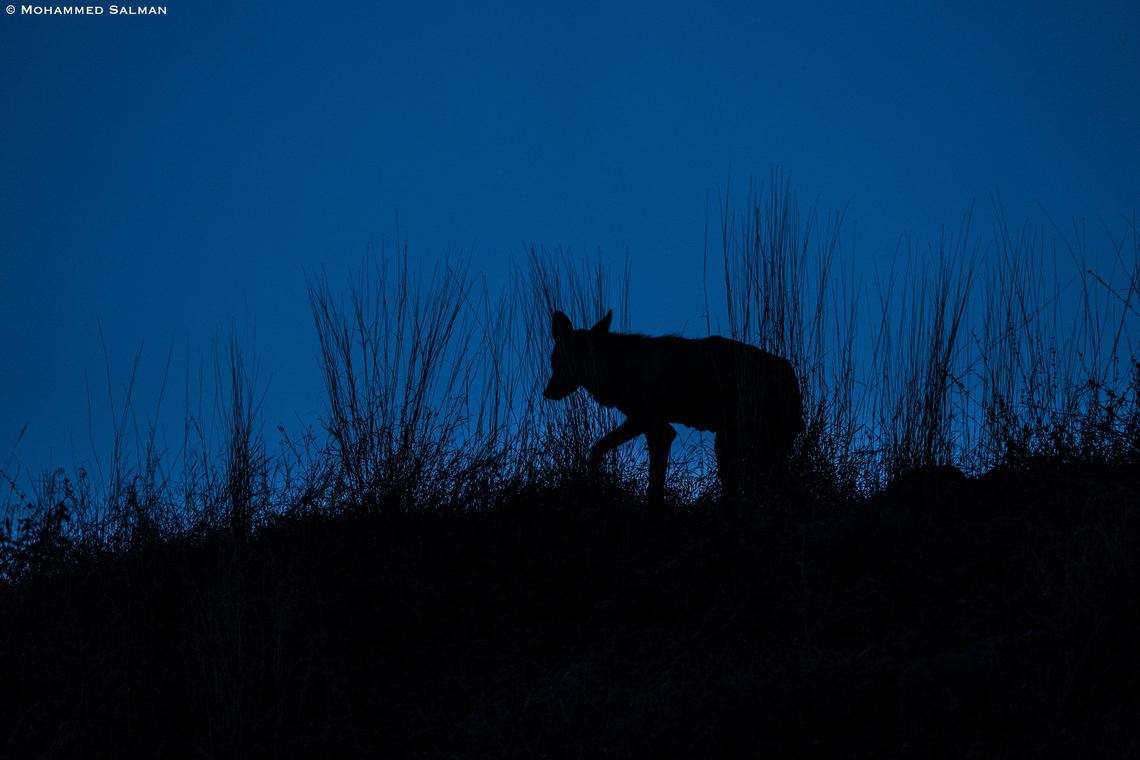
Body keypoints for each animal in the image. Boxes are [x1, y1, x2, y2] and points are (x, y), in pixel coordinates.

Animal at [543, 310, 804, 502]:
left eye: (554, 362)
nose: (546, 393)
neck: (611, 364)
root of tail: (789, 373)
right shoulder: (640, 422)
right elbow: (596, 450)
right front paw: (593, 480)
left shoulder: (659, 431)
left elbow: (654, 484)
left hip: (728, 446)